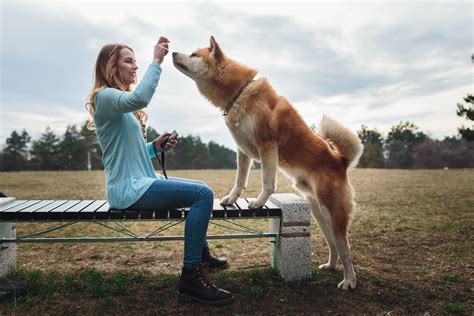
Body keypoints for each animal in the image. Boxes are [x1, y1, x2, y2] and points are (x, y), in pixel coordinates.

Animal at [173, 36, 362, 288]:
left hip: (333, 212)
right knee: (333, 244)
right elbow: (239, 180)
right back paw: (331, 266)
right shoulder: (243, 151)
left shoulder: (267, 147)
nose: (172, 52)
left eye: (194, 54)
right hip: (319, 212)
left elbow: (267, 182)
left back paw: (349, 280)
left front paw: (259, 201)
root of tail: (340, 160)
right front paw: (231, 199)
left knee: (345, 247)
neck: (238, 93)